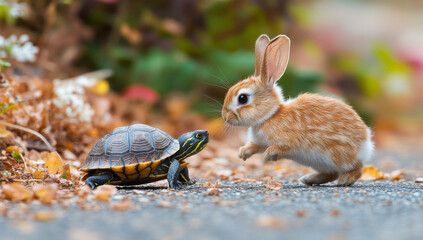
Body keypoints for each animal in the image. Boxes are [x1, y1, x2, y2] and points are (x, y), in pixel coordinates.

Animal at [222, 34, 374, 187]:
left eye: (242, 98)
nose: (225, 117)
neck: (270, 115)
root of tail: (366, 141)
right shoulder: (260, 142)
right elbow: (255, 146)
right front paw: (242, 153)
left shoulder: (290, 142)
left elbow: (279, 148)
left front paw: (267, 157)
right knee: (332, 174)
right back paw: (309, 179)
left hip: (338, 156)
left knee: (358, 167)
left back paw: (344, 180)